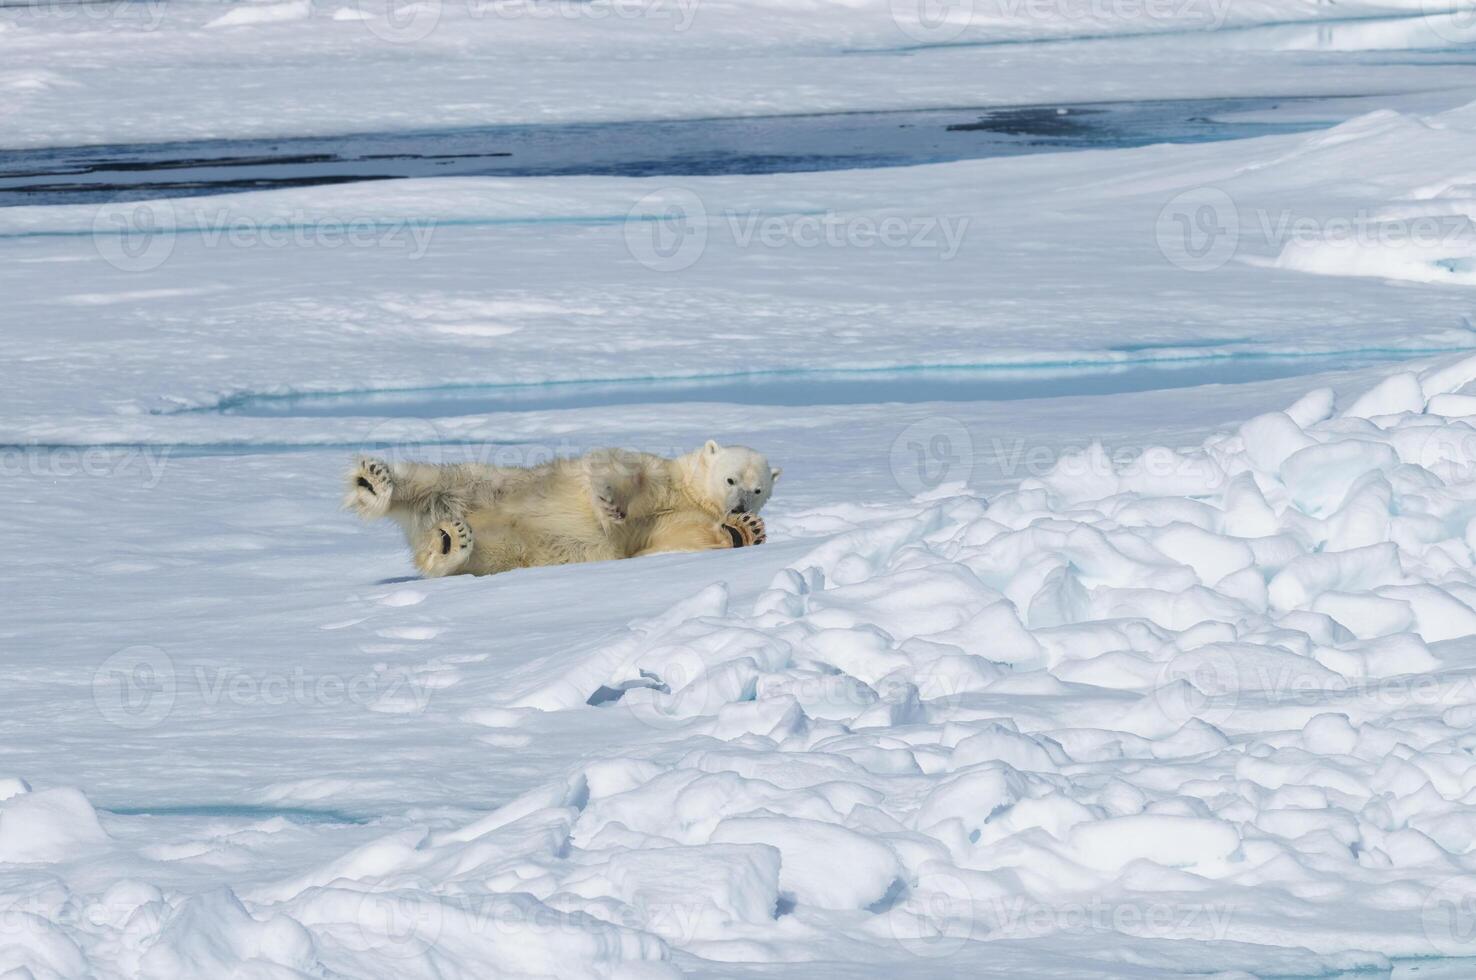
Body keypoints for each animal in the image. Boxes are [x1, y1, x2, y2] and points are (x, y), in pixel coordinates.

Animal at [346, 442, 785, 578]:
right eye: (730, 479)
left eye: (757, 488)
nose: (740, 505)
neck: (686, 491)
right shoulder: (657, 473)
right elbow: (617, 470)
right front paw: (609, 506)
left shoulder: (677, 518)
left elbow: (673, 538)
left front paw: (745, 528)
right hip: (482, 487)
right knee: (428, 481)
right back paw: (374, 481)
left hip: (503, 549)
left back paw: (449, 542)